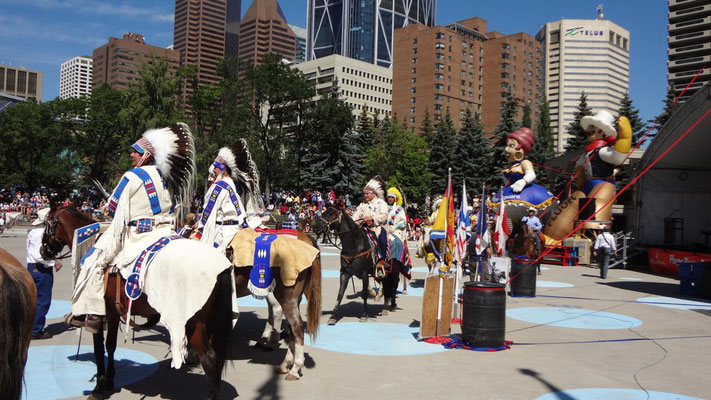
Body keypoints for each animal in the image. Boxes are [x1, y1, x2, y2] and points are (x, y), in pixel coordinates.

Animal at [41, 206, 234, 400]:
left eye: (47, 223)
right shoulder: (113, 313)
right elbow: (110, 345)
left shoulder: (99, 314)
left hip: (194, 324)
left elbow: (98, 349)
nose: (43, 251)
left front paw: (98, 387)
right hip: (210, 322)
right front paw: (109, 381)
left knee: (210, 359)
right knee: (217, 359)